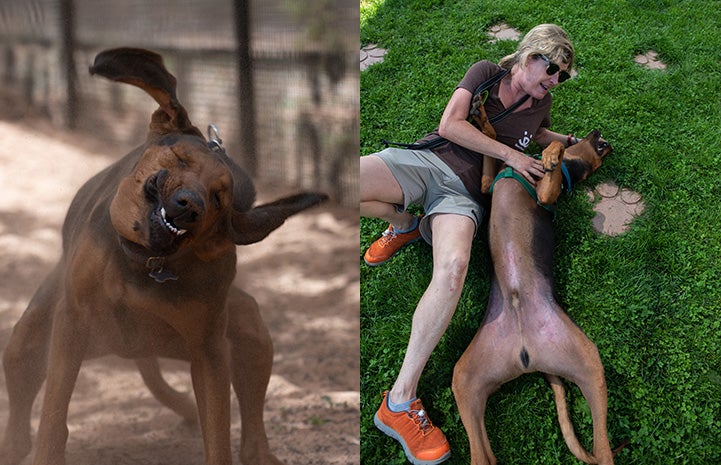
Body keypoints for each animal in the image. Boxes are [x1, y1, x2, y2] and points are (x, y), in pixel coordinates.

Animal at [0, 47, 326, 464]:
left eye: (219, 198)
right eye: (182, 159)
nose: (191, 207)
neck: (144, 263)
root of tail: (132, 350)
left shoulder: (209, 352)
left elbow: (218, 436)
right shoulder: (72, 324)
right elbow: (53, 419)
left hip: (249, 332)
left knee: (251, 422)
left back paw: (261, 454)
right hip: (27, 341)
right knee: (21, 406)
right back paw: (13, 446)